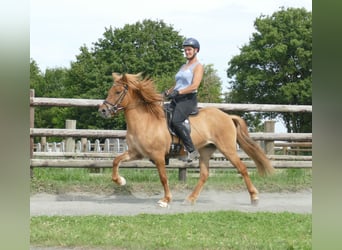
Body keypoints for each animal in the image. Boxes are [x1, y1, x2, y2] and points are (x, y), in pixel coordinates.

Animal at [97, 72, 274, 207]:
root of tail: (227, 116)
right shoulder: (136, 153)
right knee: (204, 175)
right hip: (205, 151)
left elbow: (163, 178)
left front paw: (165, 200)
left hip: (227, 149)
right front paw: (120, 181)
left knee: (242, 168)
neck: (146, 120)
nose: (103, 110)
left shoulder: (158, 156)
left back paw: (254, 197)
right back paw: (190, 199)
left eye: (118, 92)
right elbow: (116, 161)